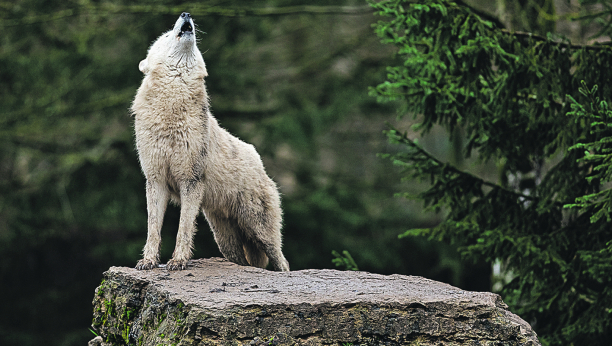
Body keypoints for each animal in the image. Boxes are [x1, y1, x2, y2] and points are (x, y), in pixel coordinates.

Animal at [131, 13, 290, 272]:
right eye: (166, 35)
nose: (185, 14)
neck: (172, 107)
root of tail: (259, 162)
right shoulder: (156, 181)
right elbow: (153, 228)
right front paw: (149, 261)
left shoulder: (190, 181)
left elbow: (183, 228)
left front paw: (178, 261)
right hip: (226, 240)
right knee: (242, 261)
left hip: (260, 231)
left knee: (282, 262)